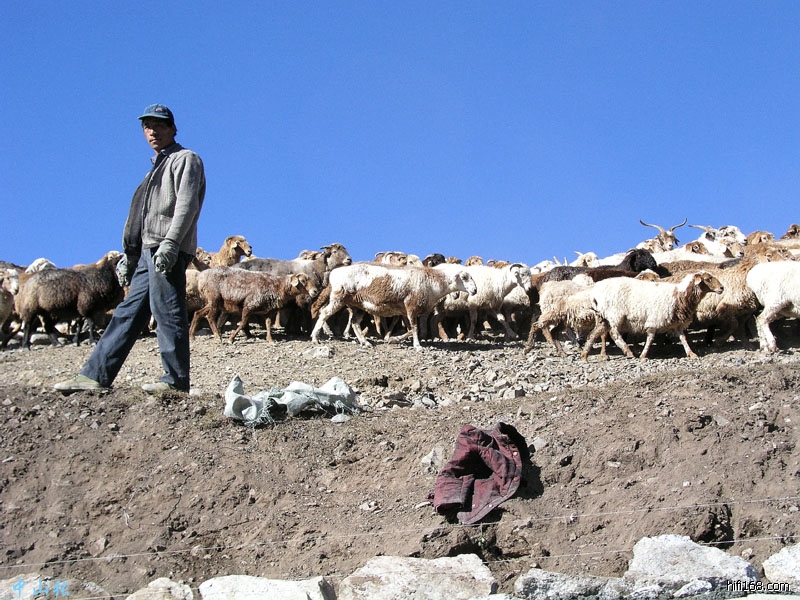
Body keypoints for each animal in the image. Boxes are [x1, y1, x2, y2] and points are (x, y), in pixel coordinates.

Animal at [189, 268, 319, 343]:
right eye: (303, 280)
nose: (315, 291)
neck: (278, 286)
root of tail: (200, 277)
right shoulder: (249, 306)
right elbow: (242, 323)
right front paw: (231, 339)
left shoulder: (269, 311)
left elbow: (268, 324)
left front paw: (270, 340)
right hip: (214, 298)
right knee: (210, 317)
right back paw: (217, 336)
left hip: (213, 302)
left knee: (198, 313)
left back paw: (192, 336)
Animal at [311, 263, 477, 350]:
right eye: (464, 277)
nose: (475, 290)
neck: (433, 282)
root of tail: (334, 273)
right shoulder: (411, 306)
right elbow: (415, 328)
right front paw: (417, 346)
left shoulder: (407, 310)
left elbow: (411, 329)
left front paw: (393, 339)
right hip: (338, 297)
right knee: (324, 313)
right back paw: (315, 337)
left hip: (358, 304)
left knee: (355, 323)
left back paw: (365, 342)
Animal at [581, 271, 724, 360]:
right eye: (708, 279)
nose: (722, 288)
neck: (680, 295)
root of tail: (595, 293)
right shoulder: (654, 320)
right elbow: (650, 338)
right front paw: (643, 355)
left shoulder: (676, 323)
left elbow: (683, 338)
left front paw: (691, 353)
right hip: (614, 314)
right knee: (613, 333)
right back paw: (628, 351)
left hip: (603, 317)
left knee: (593, 334)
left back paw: (584, 356)